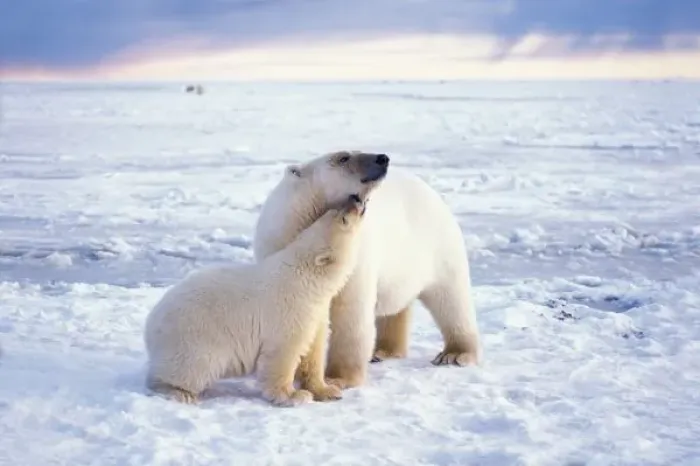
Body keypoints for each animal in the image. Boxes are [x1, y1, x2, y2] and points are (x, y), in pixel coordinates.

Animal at [143, 195, 367, 406]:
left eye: (332, 210)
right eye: (342, 218)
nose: (355, 199)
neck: (307, 277)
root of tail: (151, 325)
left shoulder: (315, 311)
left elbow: (313, 350)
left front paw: (328, 390)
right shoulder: (290, 309)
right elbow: (283, 352)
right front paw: (293, 395)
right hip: (194, 339)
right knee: (192, 368)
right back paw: (178, 392)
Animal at [253, 151, 481, 390]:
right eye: (343, 157)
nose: (383, 158)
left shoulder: (354, 257)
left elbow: (350, 313)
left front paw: (338, 378)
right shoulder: (279, 248)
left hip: (438, 247)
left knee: (451, 299)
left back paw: (454, 354)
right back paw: (384, 350)